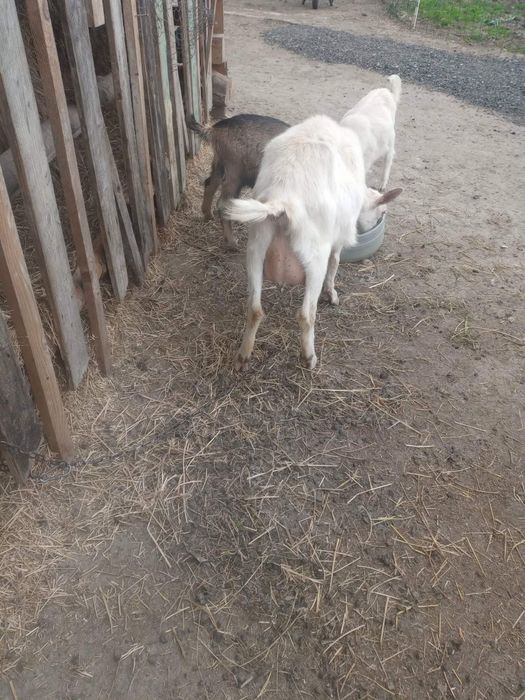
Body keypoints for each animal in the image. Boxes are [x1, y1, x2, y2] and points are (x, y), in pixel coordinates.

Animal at [188, 114, 290, 249]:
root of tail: (213, 129)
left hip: (220, 164)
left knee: (209, 184)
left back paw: (208, 215)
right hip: (234, 173)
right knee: (222, 204)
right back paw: (232, 242)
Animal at [223, 115, 402, 370]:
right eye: (383, 212)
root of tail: (283, 200)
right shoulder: (338, 238)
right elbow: (335, 263)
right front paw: (332, 294)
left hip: (256, 249)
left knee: (254, 309)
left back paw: (242, 356)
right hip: (314, 257)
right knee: (306, 314)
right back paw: (309, 357)